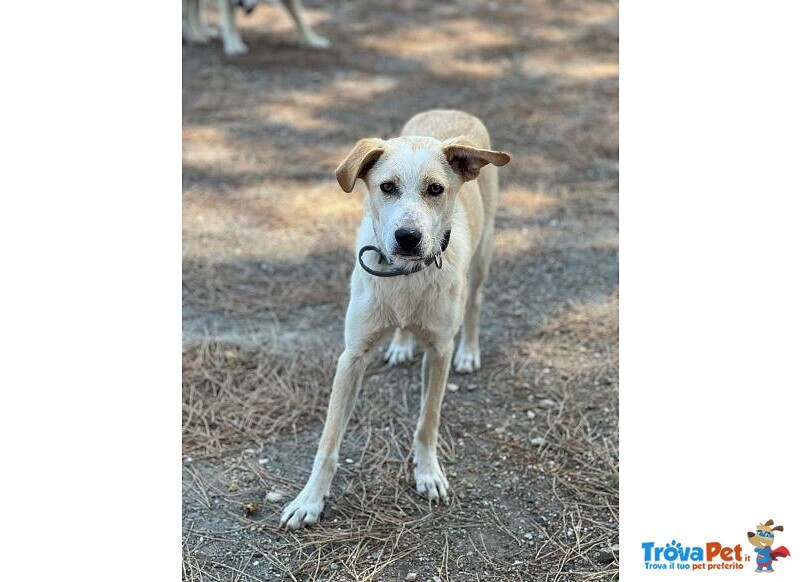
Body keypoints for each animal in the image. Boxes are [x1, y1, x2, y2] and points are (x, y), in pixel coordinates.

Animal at [183, 0, 330, 55]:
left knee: (193, 8)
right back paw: (196, 36)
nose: (239, 4)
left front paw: (313, 41)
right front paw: (233, 47)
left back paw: (203, 33)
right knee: (188, 11)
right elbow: (230, 24)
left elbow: (298, 18)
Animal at [278, 108, 510, 528]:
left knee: (475, 303)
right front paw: (309, 500)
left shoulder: (439, 351)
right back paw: (401, 345)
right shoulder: (351, 356)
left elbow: (427, 423)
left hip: (483, 257)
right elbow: (328, 441)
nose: (407, 237)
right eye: (386, 187)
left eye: (435, 189)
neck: (405, 276)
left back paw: (470, 351)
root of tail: (452, 110)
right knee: (405, 327)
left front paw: (428, 474)